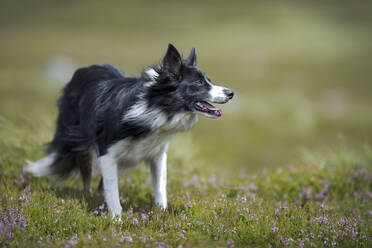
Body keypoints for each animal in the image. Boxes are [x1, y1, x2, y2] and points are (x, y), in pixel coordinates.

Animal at [26, 44, 234, 217]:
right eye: (199, 83)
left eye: (209, 80)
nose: (231, 93)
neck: (158, 107)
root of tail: (83, 70)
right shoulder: (107, 153)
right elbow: (112, 189)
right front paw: (116, 220)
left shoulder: (157, 154)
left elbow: (160, 186)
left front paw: (162, 214)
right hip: (80, 141)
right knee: (87, 178)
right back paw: (89, 199)